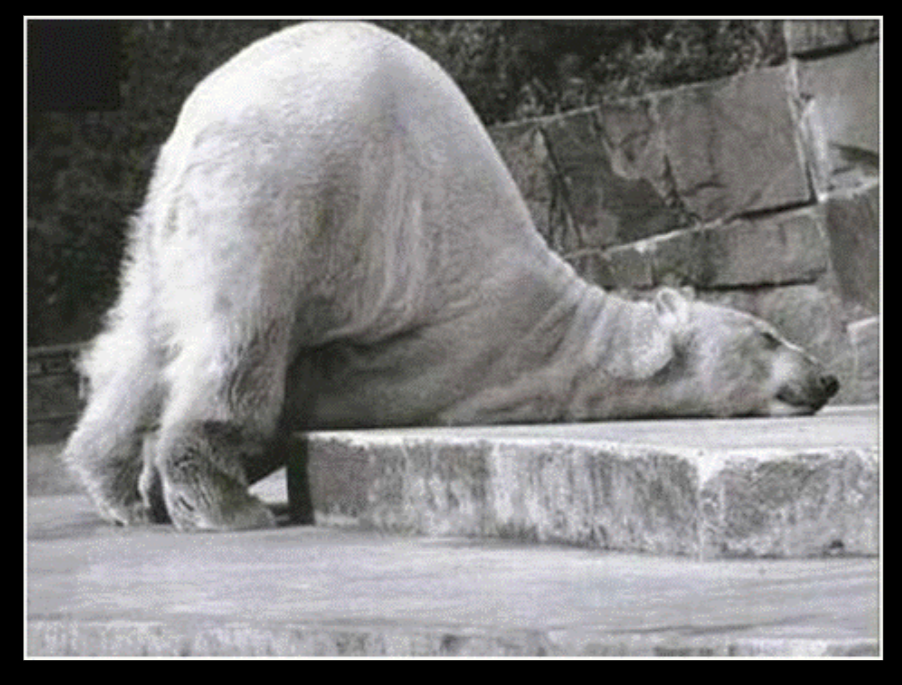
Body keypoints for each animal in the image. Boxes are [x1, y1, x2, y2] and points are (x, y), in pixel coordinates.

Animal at [63, 21, 839, 532]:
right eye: (768, 335)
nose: (828, 377)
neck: (570, 327)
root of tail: (207, 110)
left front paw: (146, 487)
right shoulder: (459, 354)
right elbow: (309, 395)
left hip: (169, 214)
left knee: (140, 336)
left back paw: (115, 489)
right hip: (288, 187)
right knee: (243, 336)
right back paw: (226, 505)